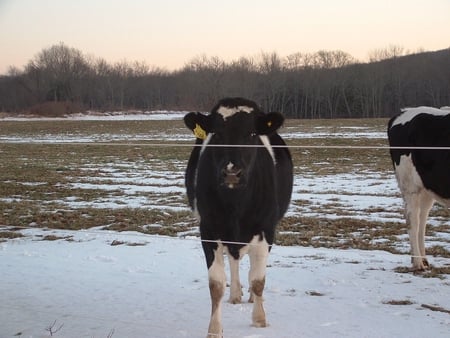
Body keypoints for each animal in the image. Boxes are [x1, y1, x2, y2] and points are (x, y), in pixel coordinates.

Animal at [185, 96, 294, 336]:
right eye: (216, 134)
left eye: (252, 134)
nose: (232, 172)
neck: (235, 204)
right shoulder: (208, 229)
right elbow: (216, 284)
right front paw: (214, 329)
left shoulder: (266, 228)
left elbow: (258, 280)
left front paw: (260, 320)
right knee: (233, 261)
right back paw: (235, 294)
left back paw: (252, 297)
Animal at [386, 107, 450, 270]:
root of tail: (403, 112)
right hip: (410, 186)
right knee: (413, 220)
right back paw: (418, 262)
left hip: (426, 188)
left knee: (422, 219)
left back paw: (424, 259)